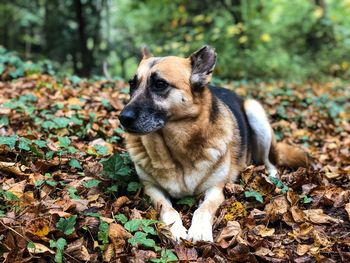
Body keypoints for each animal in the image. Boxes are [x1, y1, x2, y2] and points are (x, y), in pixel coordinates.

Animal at [118, 46, 306, 243]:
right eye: (132, 84)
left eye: (160, 84)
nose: (123, 118)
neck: (176, 152)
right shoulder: (151, 188)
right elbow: (167, 209)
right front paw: (174, 229)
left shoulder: (215, 189)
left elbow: (203, 209)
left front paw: (199, 230)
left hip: (256, 114)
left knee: (269, 161)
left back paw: (273, 177)